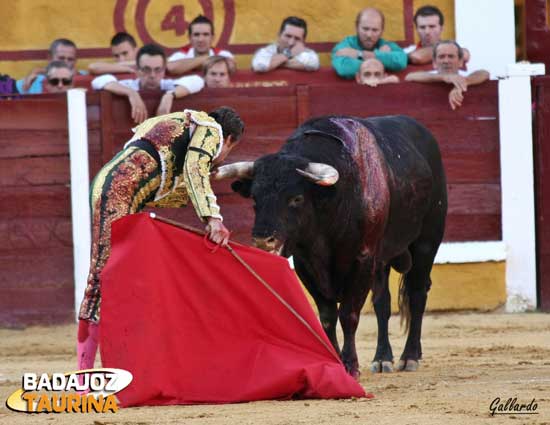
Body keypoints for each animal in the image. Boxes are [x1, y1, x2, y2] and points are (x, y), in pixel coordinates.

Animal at [216, 114, 448, 376]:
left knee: (417, 294)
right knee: (383, 303)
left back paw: (409, 357)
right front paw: (335, 361)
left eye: (297, 198)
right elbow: (327, 316)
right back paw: (382, 358)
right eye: (255, 198)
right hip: (382, 259)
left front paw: (350, 365)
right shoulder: (305, 263)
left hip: (427, 242)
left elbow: (349, 314)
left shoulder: (362, 259)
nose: (262, 239)